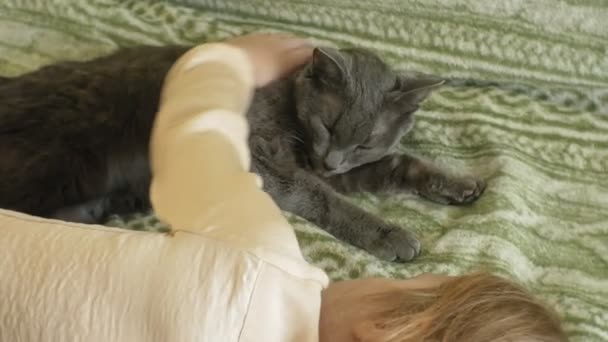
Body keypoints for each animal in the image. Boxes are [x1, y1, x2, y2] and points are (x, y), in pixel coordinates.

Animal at [0, 44, 484, 260]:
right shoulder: (263, 160)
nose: (332, 159)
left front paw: (459, 184)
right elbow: (326, 199)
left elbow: (396, 165)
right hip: (64, 162)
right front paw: (391, 235)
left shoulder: (337, 168)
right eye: (328, 126)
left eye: (365, 141)